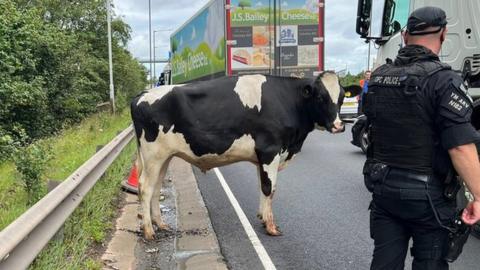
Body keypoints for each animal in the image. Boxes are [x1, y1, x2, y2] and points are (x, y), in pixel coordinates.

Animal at [129, 71, 362, 238]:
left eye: (342, 97)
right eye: (321, 97)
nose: (339, 126)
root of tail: (142, 94)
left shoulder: (262, 156)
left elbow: (262, 186)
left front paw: (262, 217)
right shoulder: (270, 150)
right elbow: (270, 188)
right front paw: (271, 226)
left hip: (163, 157)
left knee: (156, 187)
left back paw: (161, 224)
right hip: (154, 154)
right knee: (145, 187)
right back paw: (149, 231)